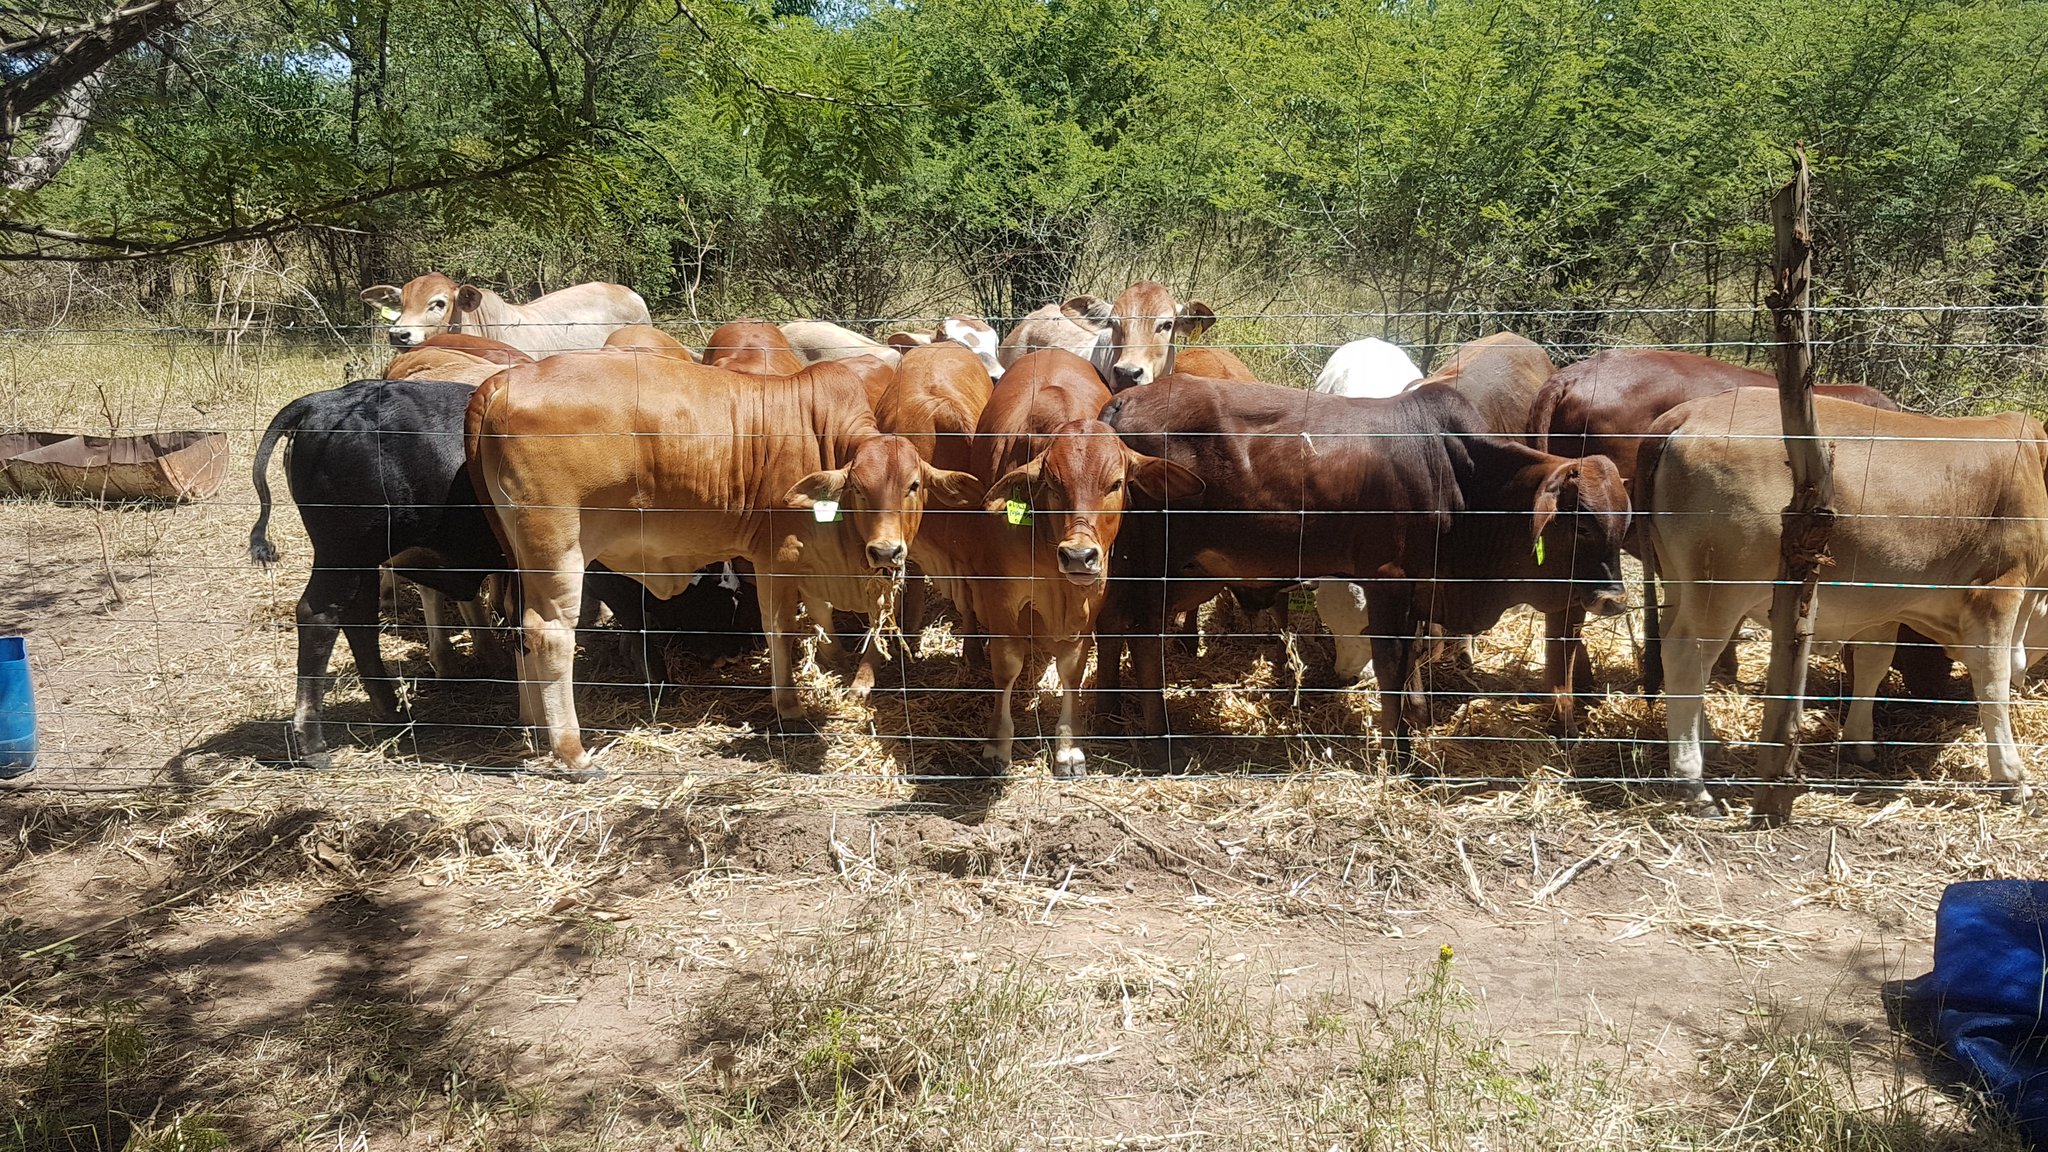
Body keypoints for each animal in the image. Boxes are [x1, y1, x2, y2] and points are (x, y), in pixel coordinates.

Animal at [249, 379, 506, 765]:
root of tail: (324, 401)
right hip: (343, 552)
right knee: (318, 616)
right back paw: (312, 742)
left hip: (363, 560)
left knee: (360, 621)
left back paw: (391, 709)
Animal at [465, 353, 984, 775]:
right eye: (858, 488)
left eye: (914, 485)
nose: (886, 552)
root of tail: (503, 381)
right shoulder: (775, 559)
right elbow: (782, 630)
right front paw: (789, 706)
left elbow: (821, 617)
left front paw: (834, 661)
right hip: (558, 549)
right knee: (548, 633)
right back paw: (572, 752)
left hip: (520, 559)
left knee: (518, 625)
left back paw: (534, 725)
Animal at [914, 349, 1201, 775]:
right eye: (1052, 483)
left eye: (1116, 483)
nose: (1079, 555)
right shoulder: (1001, 596)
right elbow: (1007, 667)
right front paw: (997, 746)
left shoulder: (1089, 599)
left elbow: (1072, 668)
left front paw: (1068, 748)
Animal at [1095, 375, 1631, 768]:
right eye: (1581, 523)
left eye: (1623, 523)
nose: (1612, 599)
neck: (1456, 471)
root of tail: (1122, 401)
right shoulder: (1388, 581)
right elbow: (1392, 667)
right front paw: (1401, 756)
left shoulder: (1419, 590)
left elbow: (1412, 662)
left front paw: (1415, 725)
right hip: (1154, 565)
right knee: (1140, 637)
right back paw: (1158, 737)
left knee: (1112, 629)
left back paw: (1109, 713)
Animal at [1640, 388, 2048, 817]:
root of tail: (1686, 413)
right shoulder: (1998, 590)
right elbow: (1993, 680)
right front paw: (2013, 779)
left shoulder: (1884, 602)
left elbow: (1873, 663)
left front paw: (1859, 743)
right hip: (1721, 587)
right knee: (1687, 656)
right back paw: (1692, 783)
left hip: (1679, 581)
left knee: (1673, 646)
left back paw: (1710, 743)